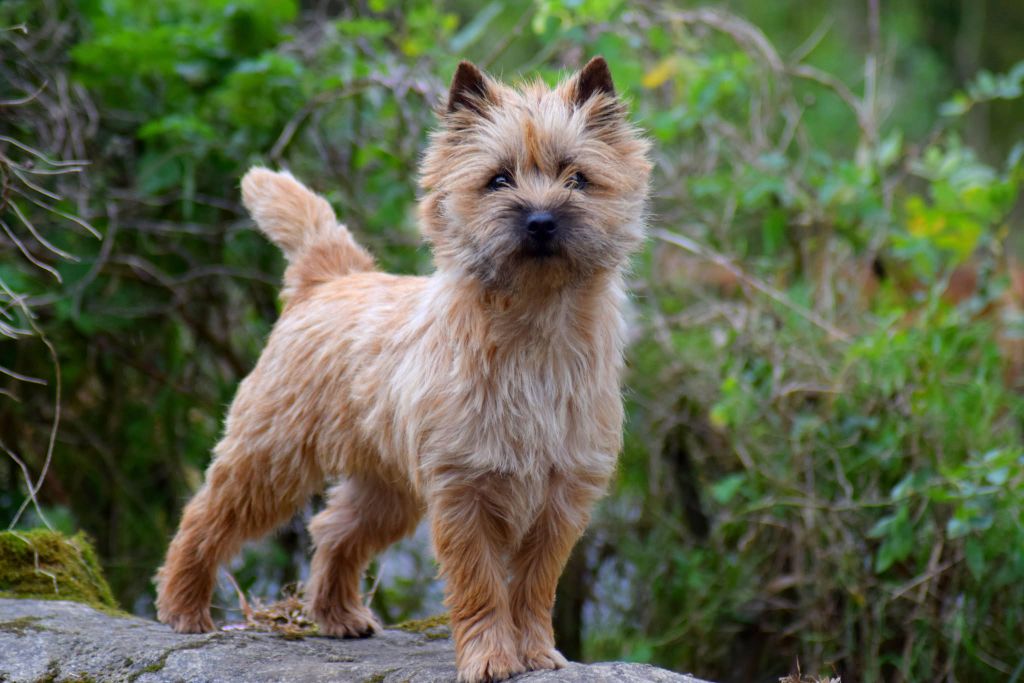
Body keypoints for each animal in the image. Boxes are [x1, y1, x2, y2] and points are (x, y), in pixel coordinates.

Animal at [153, 58, 647, 683]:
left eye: (577, 178)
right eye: (498, 180)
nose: (540, 221)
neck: (534, 331)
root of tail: (331, 277)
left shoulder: (562, 498)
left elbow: (534, 586)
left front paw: (535, 653)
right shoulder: (463, 492)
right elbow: (480, 583)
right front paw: (491, 658)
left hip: (386, 490)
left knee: (334, 529)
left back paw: (339, 615)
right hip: (271, 458)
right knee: (206, 516)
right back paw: (183, 606)